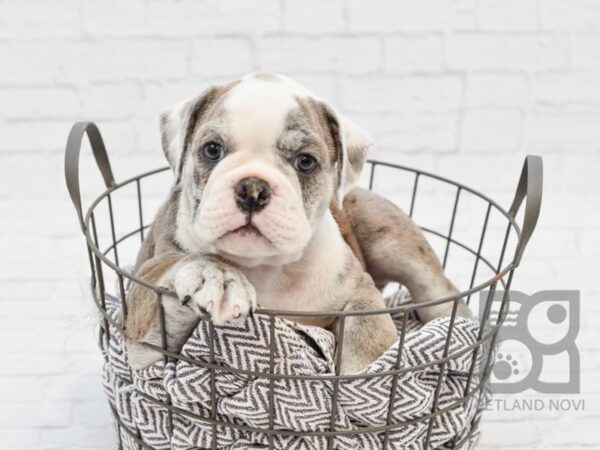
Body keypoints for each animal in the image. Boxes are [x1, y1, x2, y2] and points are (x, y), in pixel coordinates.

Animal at [124, 73, 466, 372]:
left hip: (389, 237)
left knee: (438, 289)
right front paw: (218, 277)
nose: (252, 188)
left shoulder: (360, 290)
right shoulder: (146, 348)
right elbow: (171, 269)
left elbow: (369, 332)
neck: (266, 267)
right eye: (212, 150)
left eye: (305, 161)